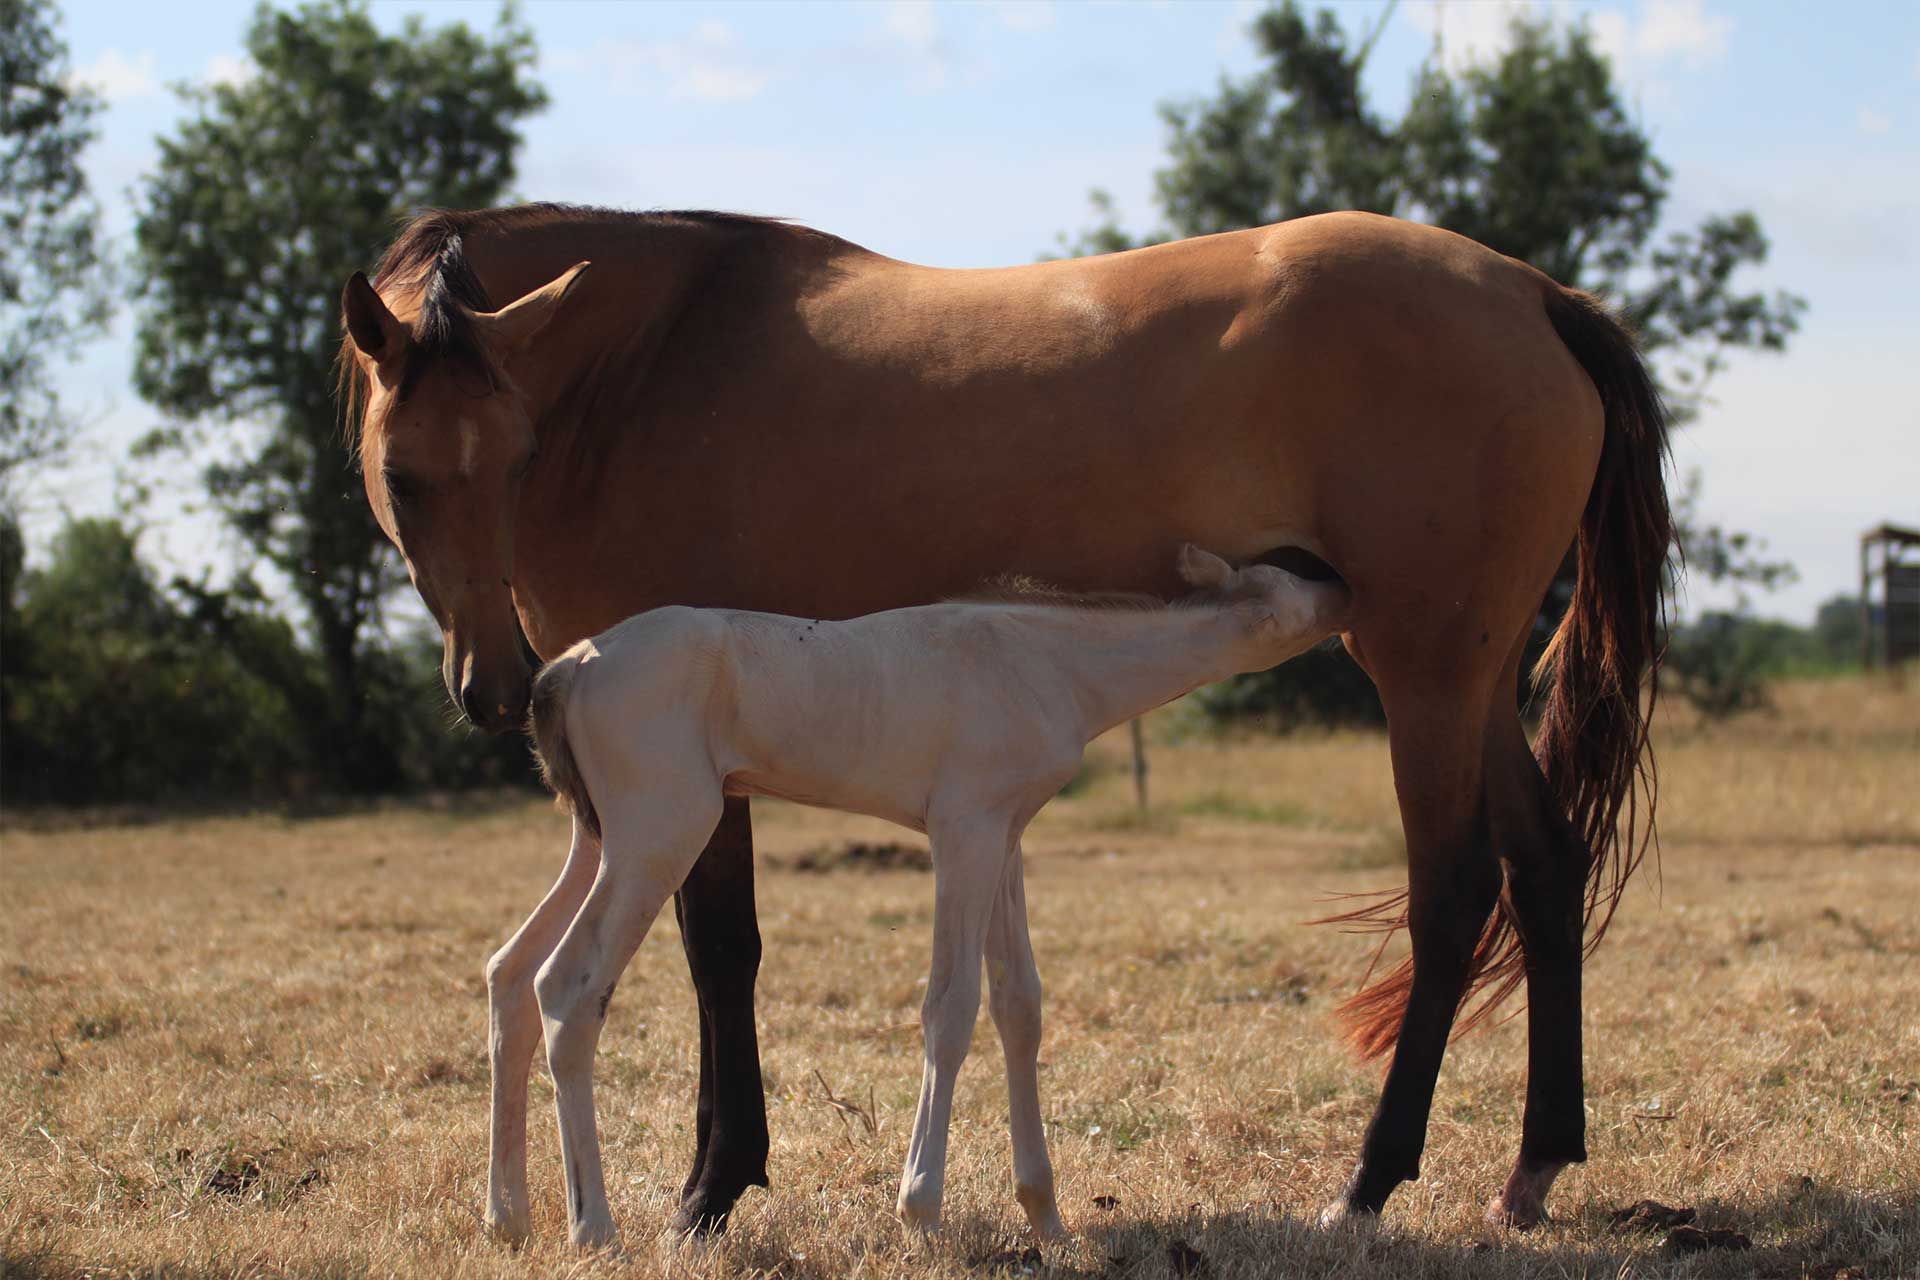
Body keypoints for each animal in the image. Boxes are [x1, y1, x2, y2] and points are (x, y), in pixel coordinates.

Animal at [487, 545, 1344, 1243]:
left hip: (599, 838)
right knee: (567, 987)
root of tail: (567, 669)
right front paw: (922, 1211)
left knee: (508, 974)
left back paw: (509, 1218)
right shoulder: (962, 829)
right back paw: (592, 1229)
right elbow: (951, 1006)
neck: (1046, 659)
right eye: (1291, 581)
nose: (1345, 588)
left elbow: (1019, 1004)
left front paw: (1048, 1219)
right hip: (660, 834)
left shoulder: (1003, 836)